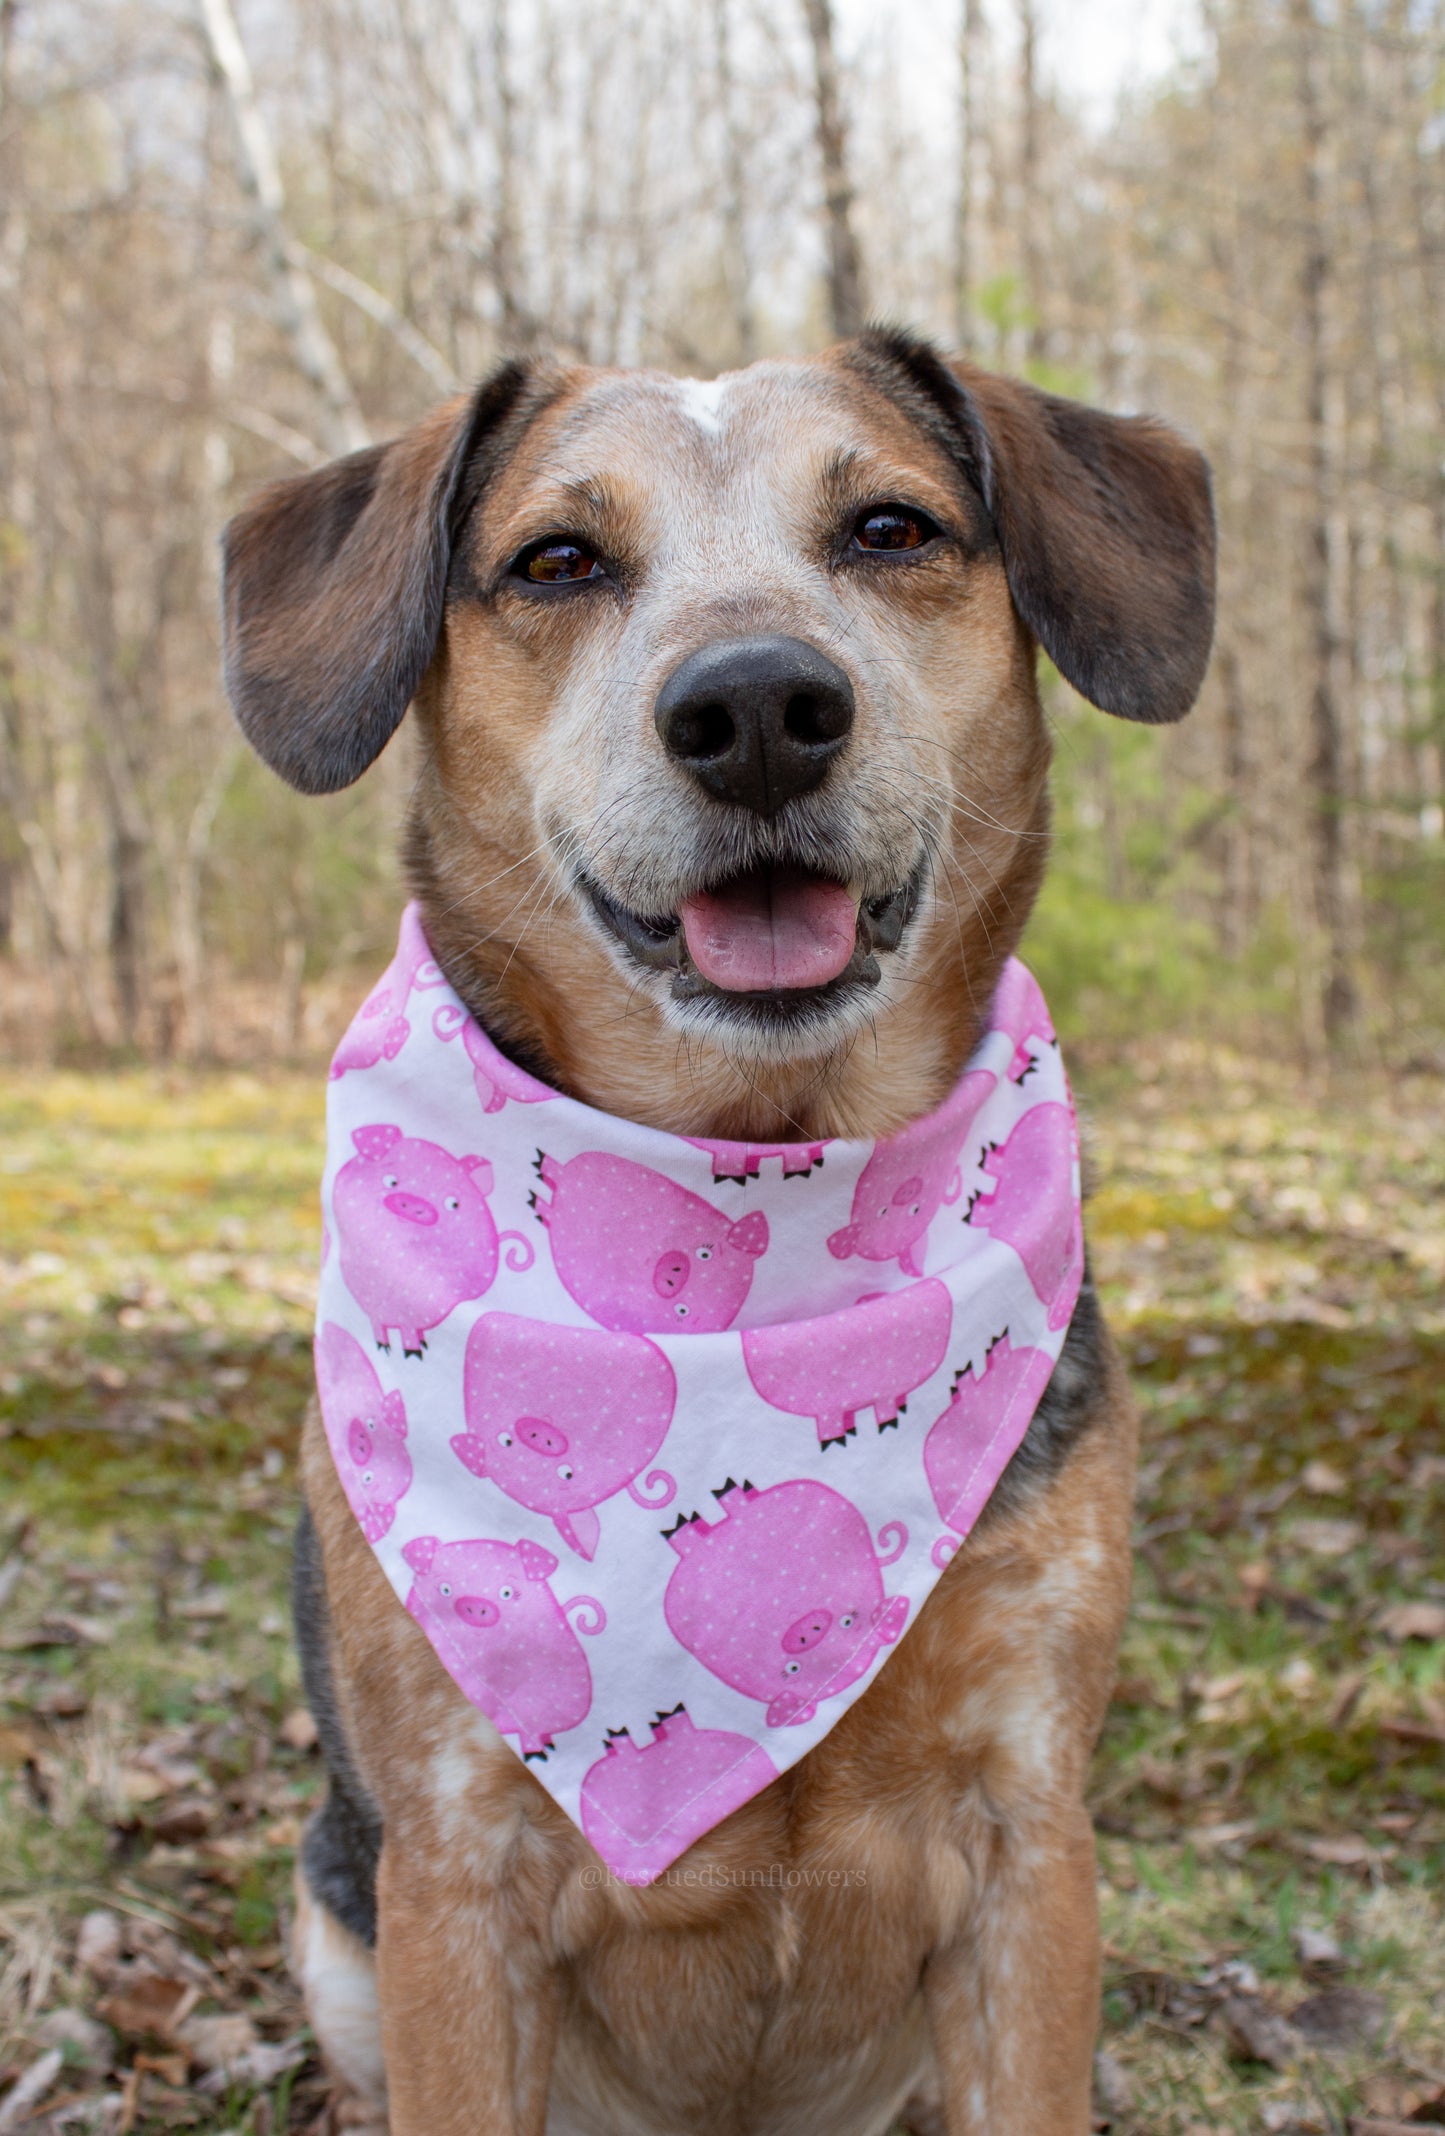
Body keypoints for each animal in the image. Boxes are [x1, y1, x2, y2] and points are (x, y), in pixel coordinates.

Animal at [220, 328, 1214, 2136]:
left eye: (891, 528)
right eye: (555, 559)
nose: (755, 707)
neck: (752, 1169)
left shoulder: (1031, 1849)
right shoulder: (452, 1879)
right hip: (334, 1921)